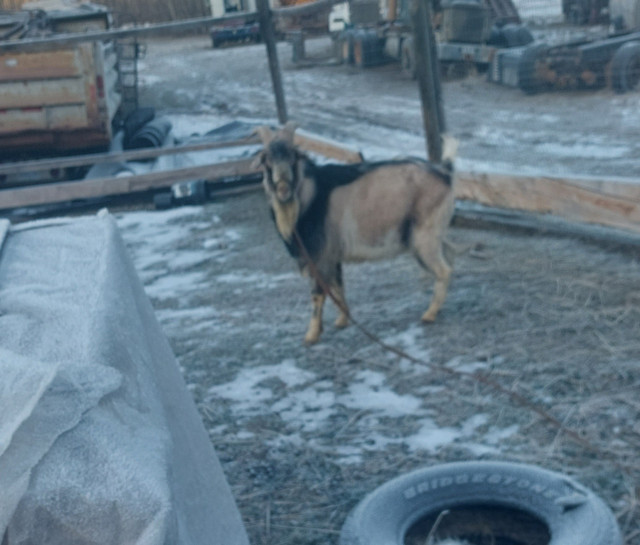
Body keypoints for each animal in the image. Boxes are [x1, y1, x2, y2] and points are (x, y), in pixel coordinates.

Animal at [252, 124, 458, 344]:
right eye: (266, 160)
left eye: (293, 157)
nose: (283, 190)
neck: (308, 197)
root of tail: (445, 172)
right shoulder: (332, 255)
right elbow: (337, 287)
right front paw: (342, 320)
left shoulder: (320, 256)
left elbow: (318, 293)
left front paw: (312, 335)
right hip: (435, 234)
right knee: (449, 258)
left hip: (424, 237)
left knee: (444, 270)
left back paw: (429, 314)